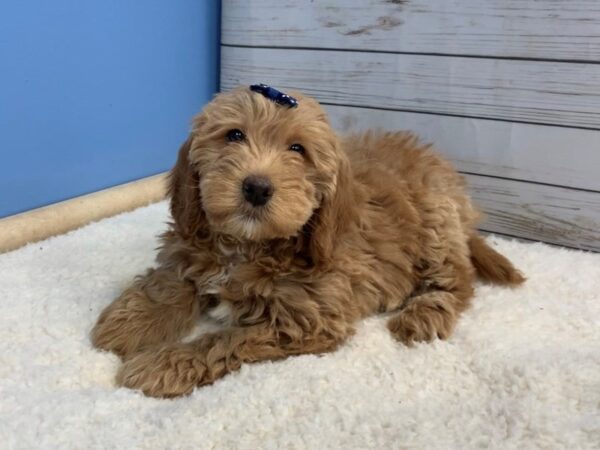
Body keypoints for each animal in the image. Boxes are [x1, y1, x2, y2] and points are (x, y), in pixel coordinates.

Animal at [91, 84, 524, 398]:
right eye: (234, 135)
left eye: (297, 149)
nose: (256, 187)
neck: (248, 246)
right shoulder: (192, 243)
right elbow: (172, 282)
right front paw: (128, 325)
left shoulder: (307, 317)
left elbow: (224, 338)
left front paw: (163, 364)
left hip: (436, 222)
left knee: (459, 280)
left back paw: (423, 314)